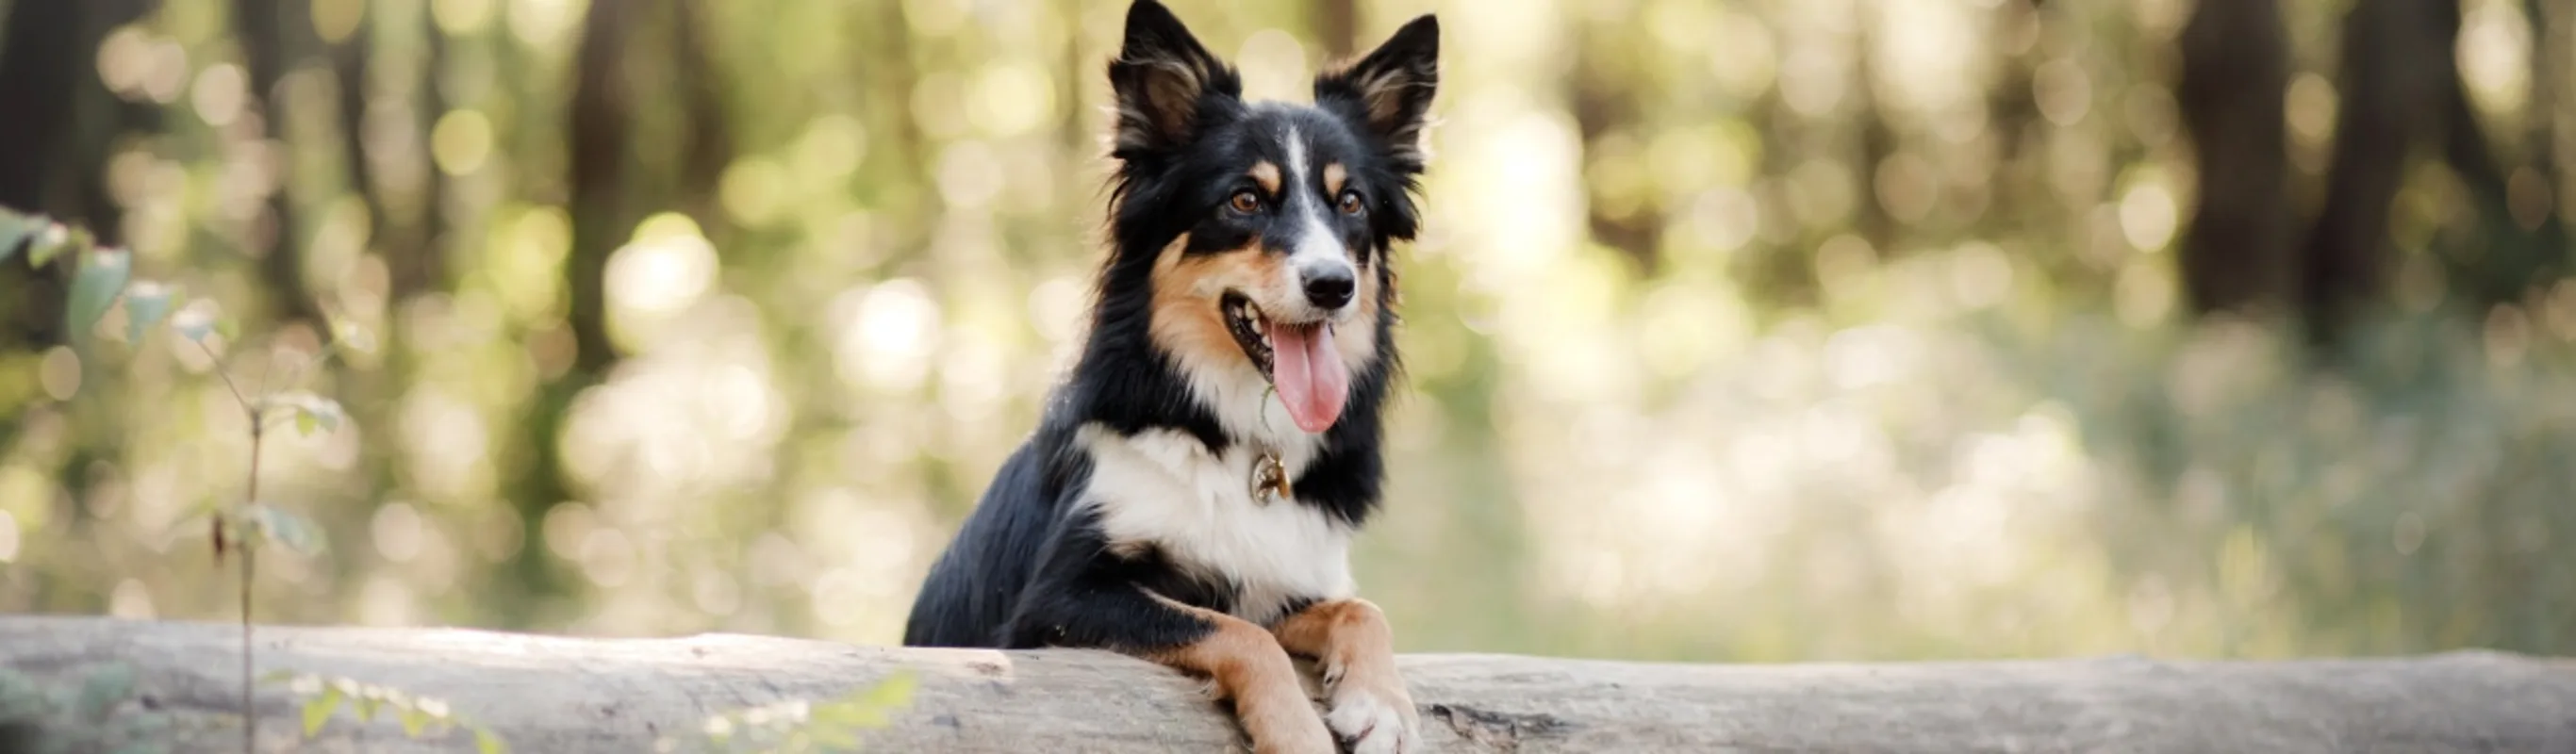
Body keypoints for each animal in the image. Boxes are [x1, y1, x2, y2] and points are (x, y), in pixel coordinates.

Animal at [901, 3, 1431, 746]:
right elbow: (1235, 631)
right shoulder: (1058, 599)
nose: (1333, 286)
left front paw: (1384, 705)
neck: (1235, 438)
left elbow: (1358, 609)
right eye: (1244, 200)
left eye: (1350, 202)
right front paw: (1296, 734)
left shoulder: (1287, 579)